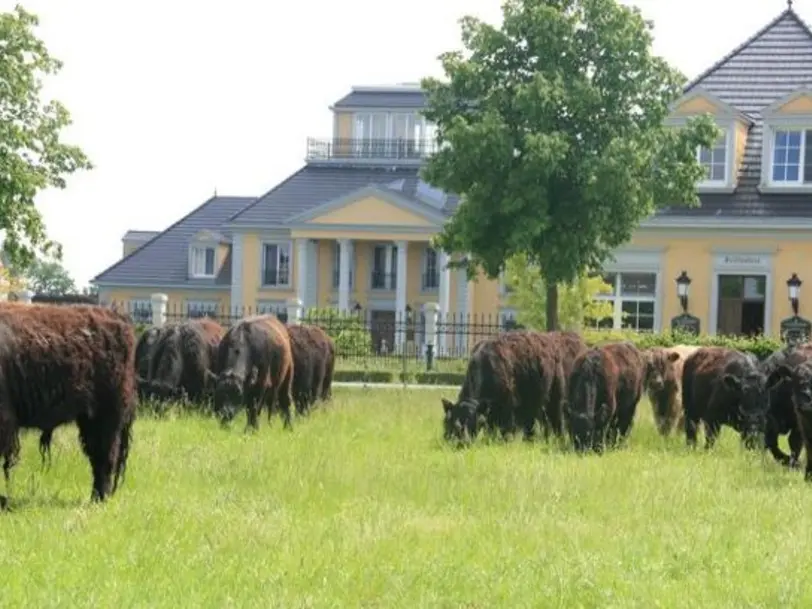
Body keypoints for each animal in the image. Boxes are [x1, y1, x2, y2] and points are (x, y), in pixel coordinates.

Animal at [0, 302, 136, 506]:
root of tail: (117, 318)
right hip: (88, 418)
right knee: (97, 455)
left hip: (109, 416)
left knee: (106, 456)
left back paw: (99, 498)